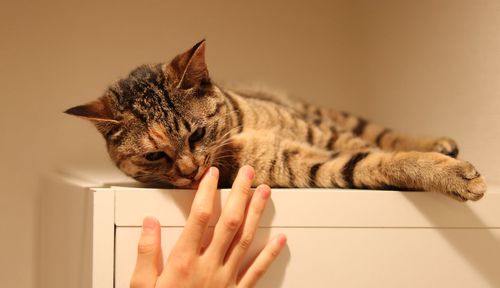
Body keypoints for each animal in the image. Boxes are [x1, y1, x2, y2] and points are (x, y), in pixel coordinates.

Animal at [64, 39, 486, 201]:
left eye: (197, 134)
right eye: (154, 156)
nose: (189, 171)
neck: (238, 130)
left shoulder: (322, 133)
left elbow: (373, 147)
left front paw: (448, 167)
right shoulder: (302, 165)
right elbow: (369, 161)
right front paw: (453, 174)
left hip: (325, 115)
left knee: (379, 132)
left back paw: (440, 142)